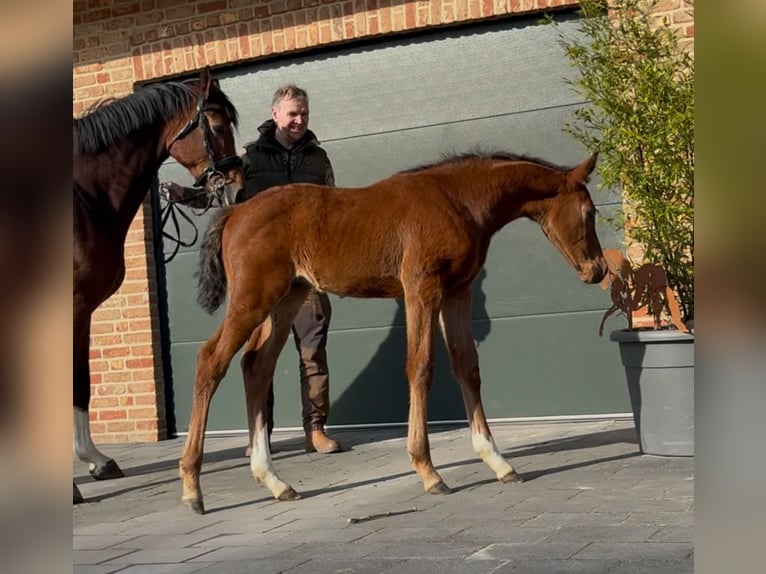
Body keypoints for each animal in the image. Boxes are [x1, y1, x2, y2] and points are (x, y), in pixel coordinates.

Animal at [178, 151, 608, 516]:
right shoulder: (421, 286)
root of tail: (234, 211)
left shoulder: (458, 291)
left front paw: (498, 461)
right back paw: (192, 488)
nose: (599, 270)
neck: (459, 199)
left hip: (289, 297)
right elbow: (421, 366)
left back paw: (274, 480)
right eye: (589, 212)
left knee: (256, 365)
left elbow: (467, 366)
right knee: (211, 361)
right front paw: (428, 471)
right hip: (253, 298)